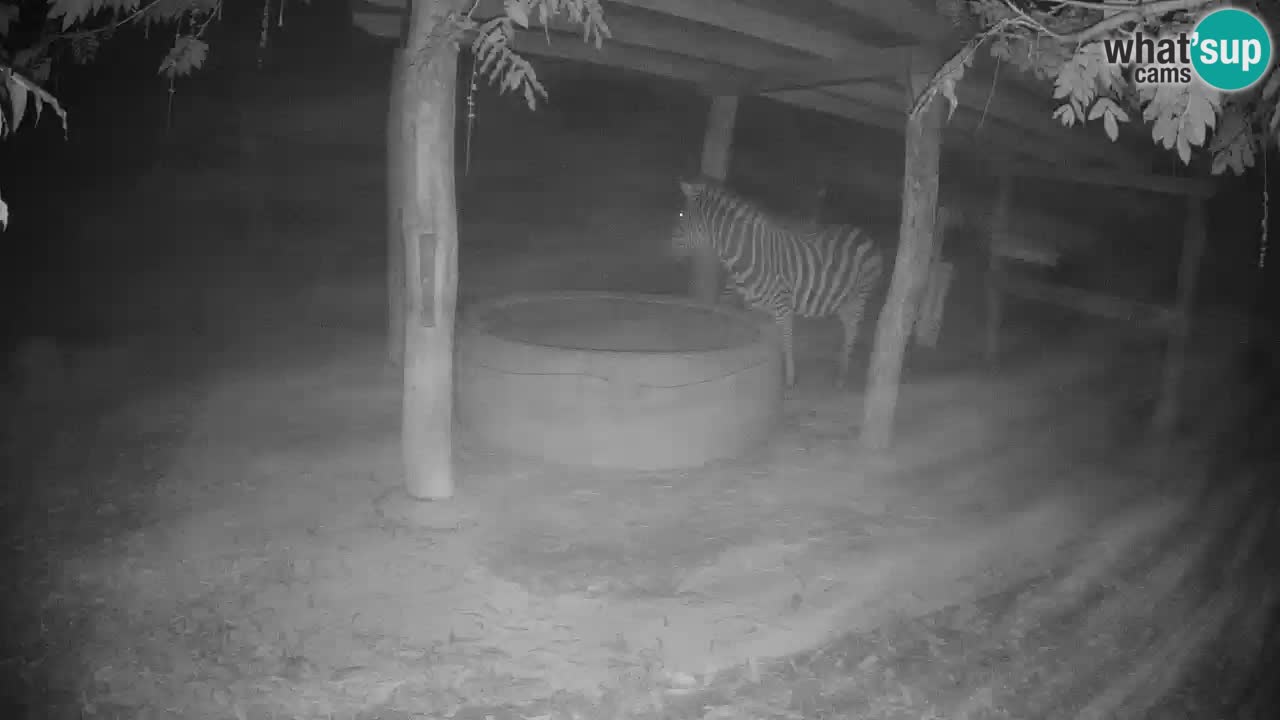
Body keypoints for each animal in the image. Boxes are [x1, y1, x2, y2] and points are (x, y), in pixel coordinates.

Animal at [671, 178, 885, 389]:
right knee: (848, 328)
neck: (748, 256)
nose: (668, 247)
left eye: (681, 215)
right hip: (843, 300)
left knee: (852, 330)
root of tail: (863, 234)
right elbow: (750, 337)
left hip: (859, 296)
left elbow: (786, 341)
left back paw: (841, 376)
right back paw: (841, 366)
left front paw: (789, 381)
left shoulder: (783, 306)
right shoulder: (751, 306)